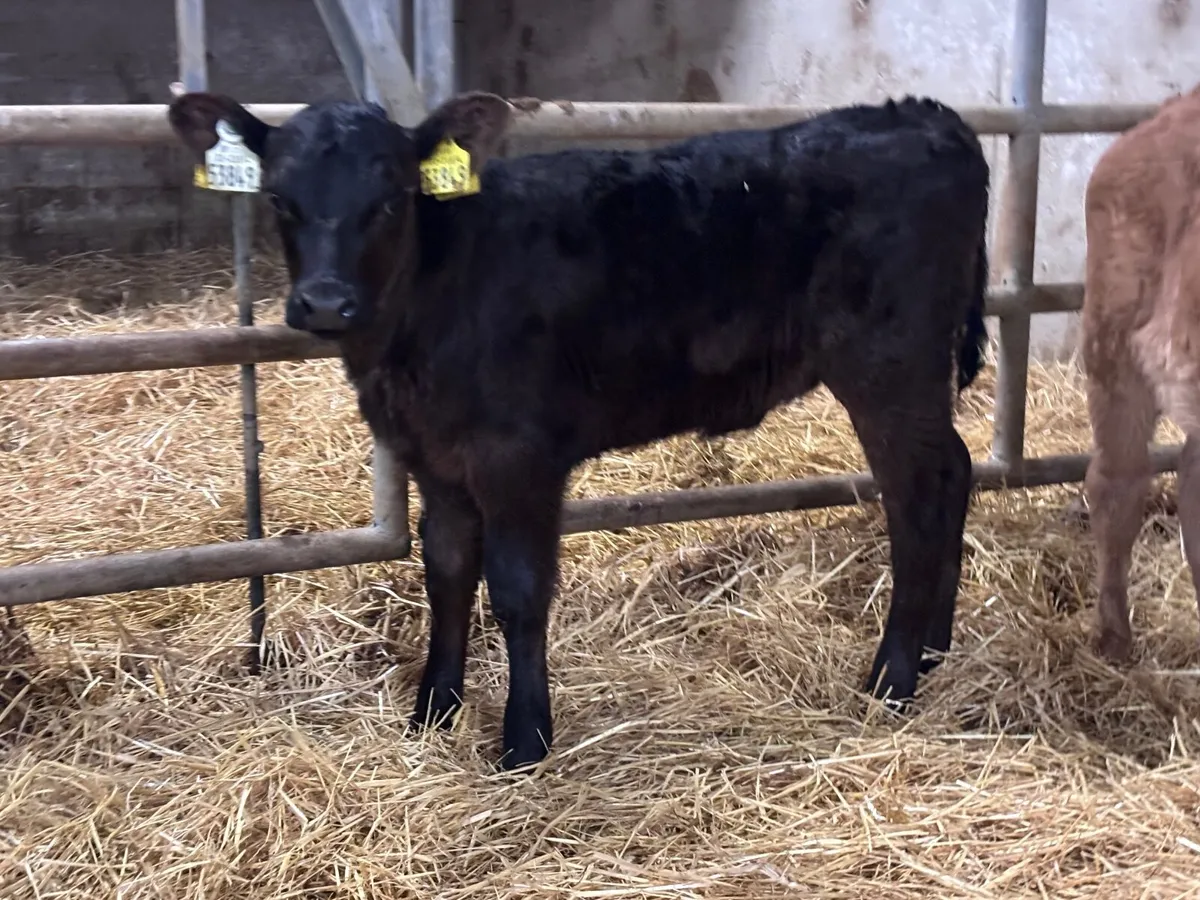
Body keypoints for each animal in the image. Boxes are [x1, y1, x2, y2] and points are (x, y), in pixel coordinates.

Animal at [168, 89, 991, 770]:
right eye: (280, 197)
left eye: (393, 198)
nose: (326, 302)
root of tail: (922, 115)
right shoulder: (434, 457)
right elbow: (447, 572)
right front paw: (432, 714)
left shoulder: (518, 457)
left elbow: (518, 588)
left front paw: (525, 740)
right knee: (955, 473)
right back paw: (935, 653)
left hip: (888, 366)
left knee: (917, 498)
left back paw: (891, 680)